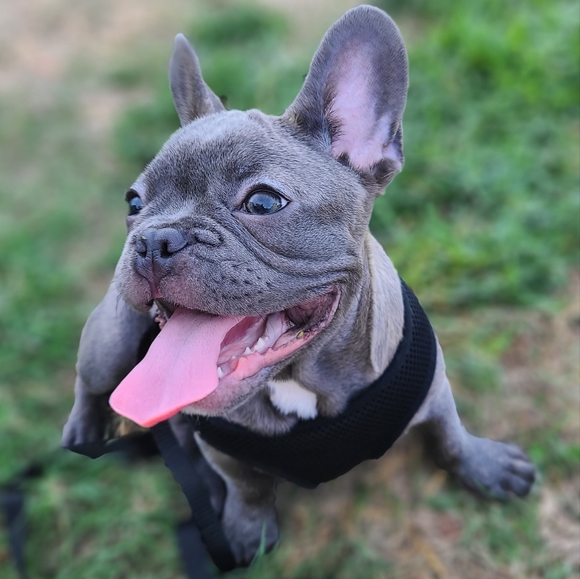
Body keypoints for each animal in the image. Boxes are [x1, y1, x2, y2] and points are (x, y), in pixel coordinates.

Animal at [62, 5, 536, 565]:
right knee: (91, 382)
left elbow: (450, 434)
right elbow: (246, 486)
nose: (155, 239)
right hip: (110, 340)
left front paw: (484, 466)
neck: (298, 382)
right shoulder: (221, 449)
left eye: (263, 202)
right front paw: (248, 530)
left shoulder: (435, 388)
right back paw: (84, 430)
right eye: (133, 202)